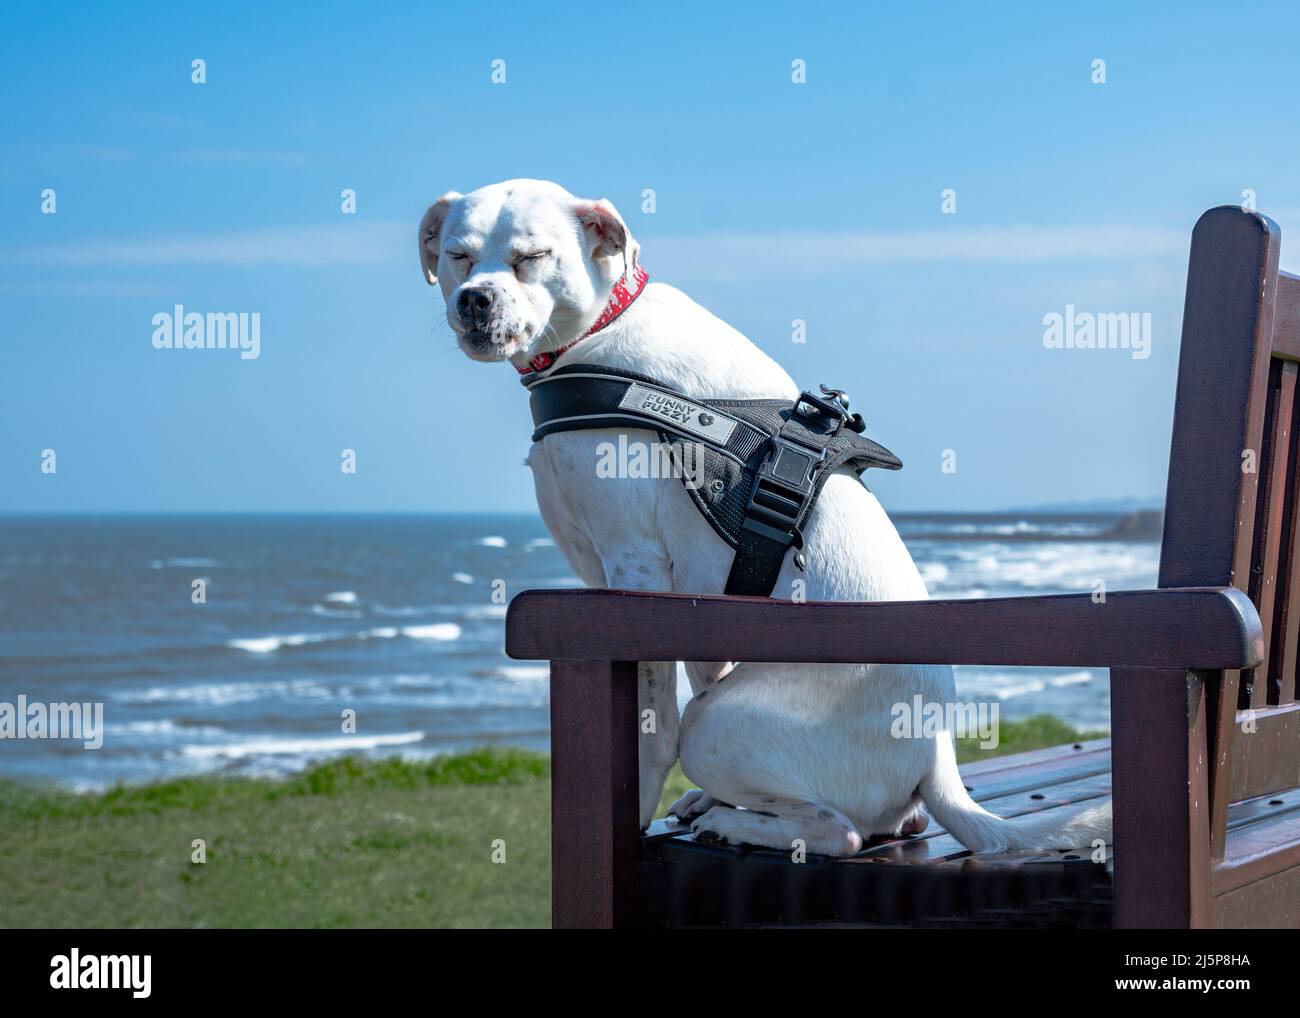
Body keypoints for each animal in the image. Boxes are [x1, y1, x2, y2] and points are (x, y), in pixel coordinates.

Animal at [421, 179, 1112, 858]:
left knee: (840, 831)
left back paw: (738, 825)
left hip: (718, 726)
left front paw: (635, 813)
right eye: (458, 255)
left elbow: (652, 724)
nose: (474, 299)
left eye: (532, 257)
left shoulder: (635, 575)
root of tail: (936, 756)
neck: (598, 331)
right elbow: (702, 669)